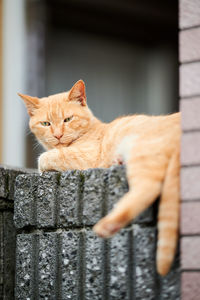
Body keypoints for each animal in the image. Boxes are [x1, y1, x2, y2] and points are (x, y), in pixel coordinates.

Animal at [19, 80, 181, 276]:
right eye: (45, 123)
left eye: (68, 119)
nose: (57, 135)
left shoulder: (87, 157)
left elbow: (44, 158)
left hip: (142, 151)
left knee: (147, 188)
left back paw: (106, 226)